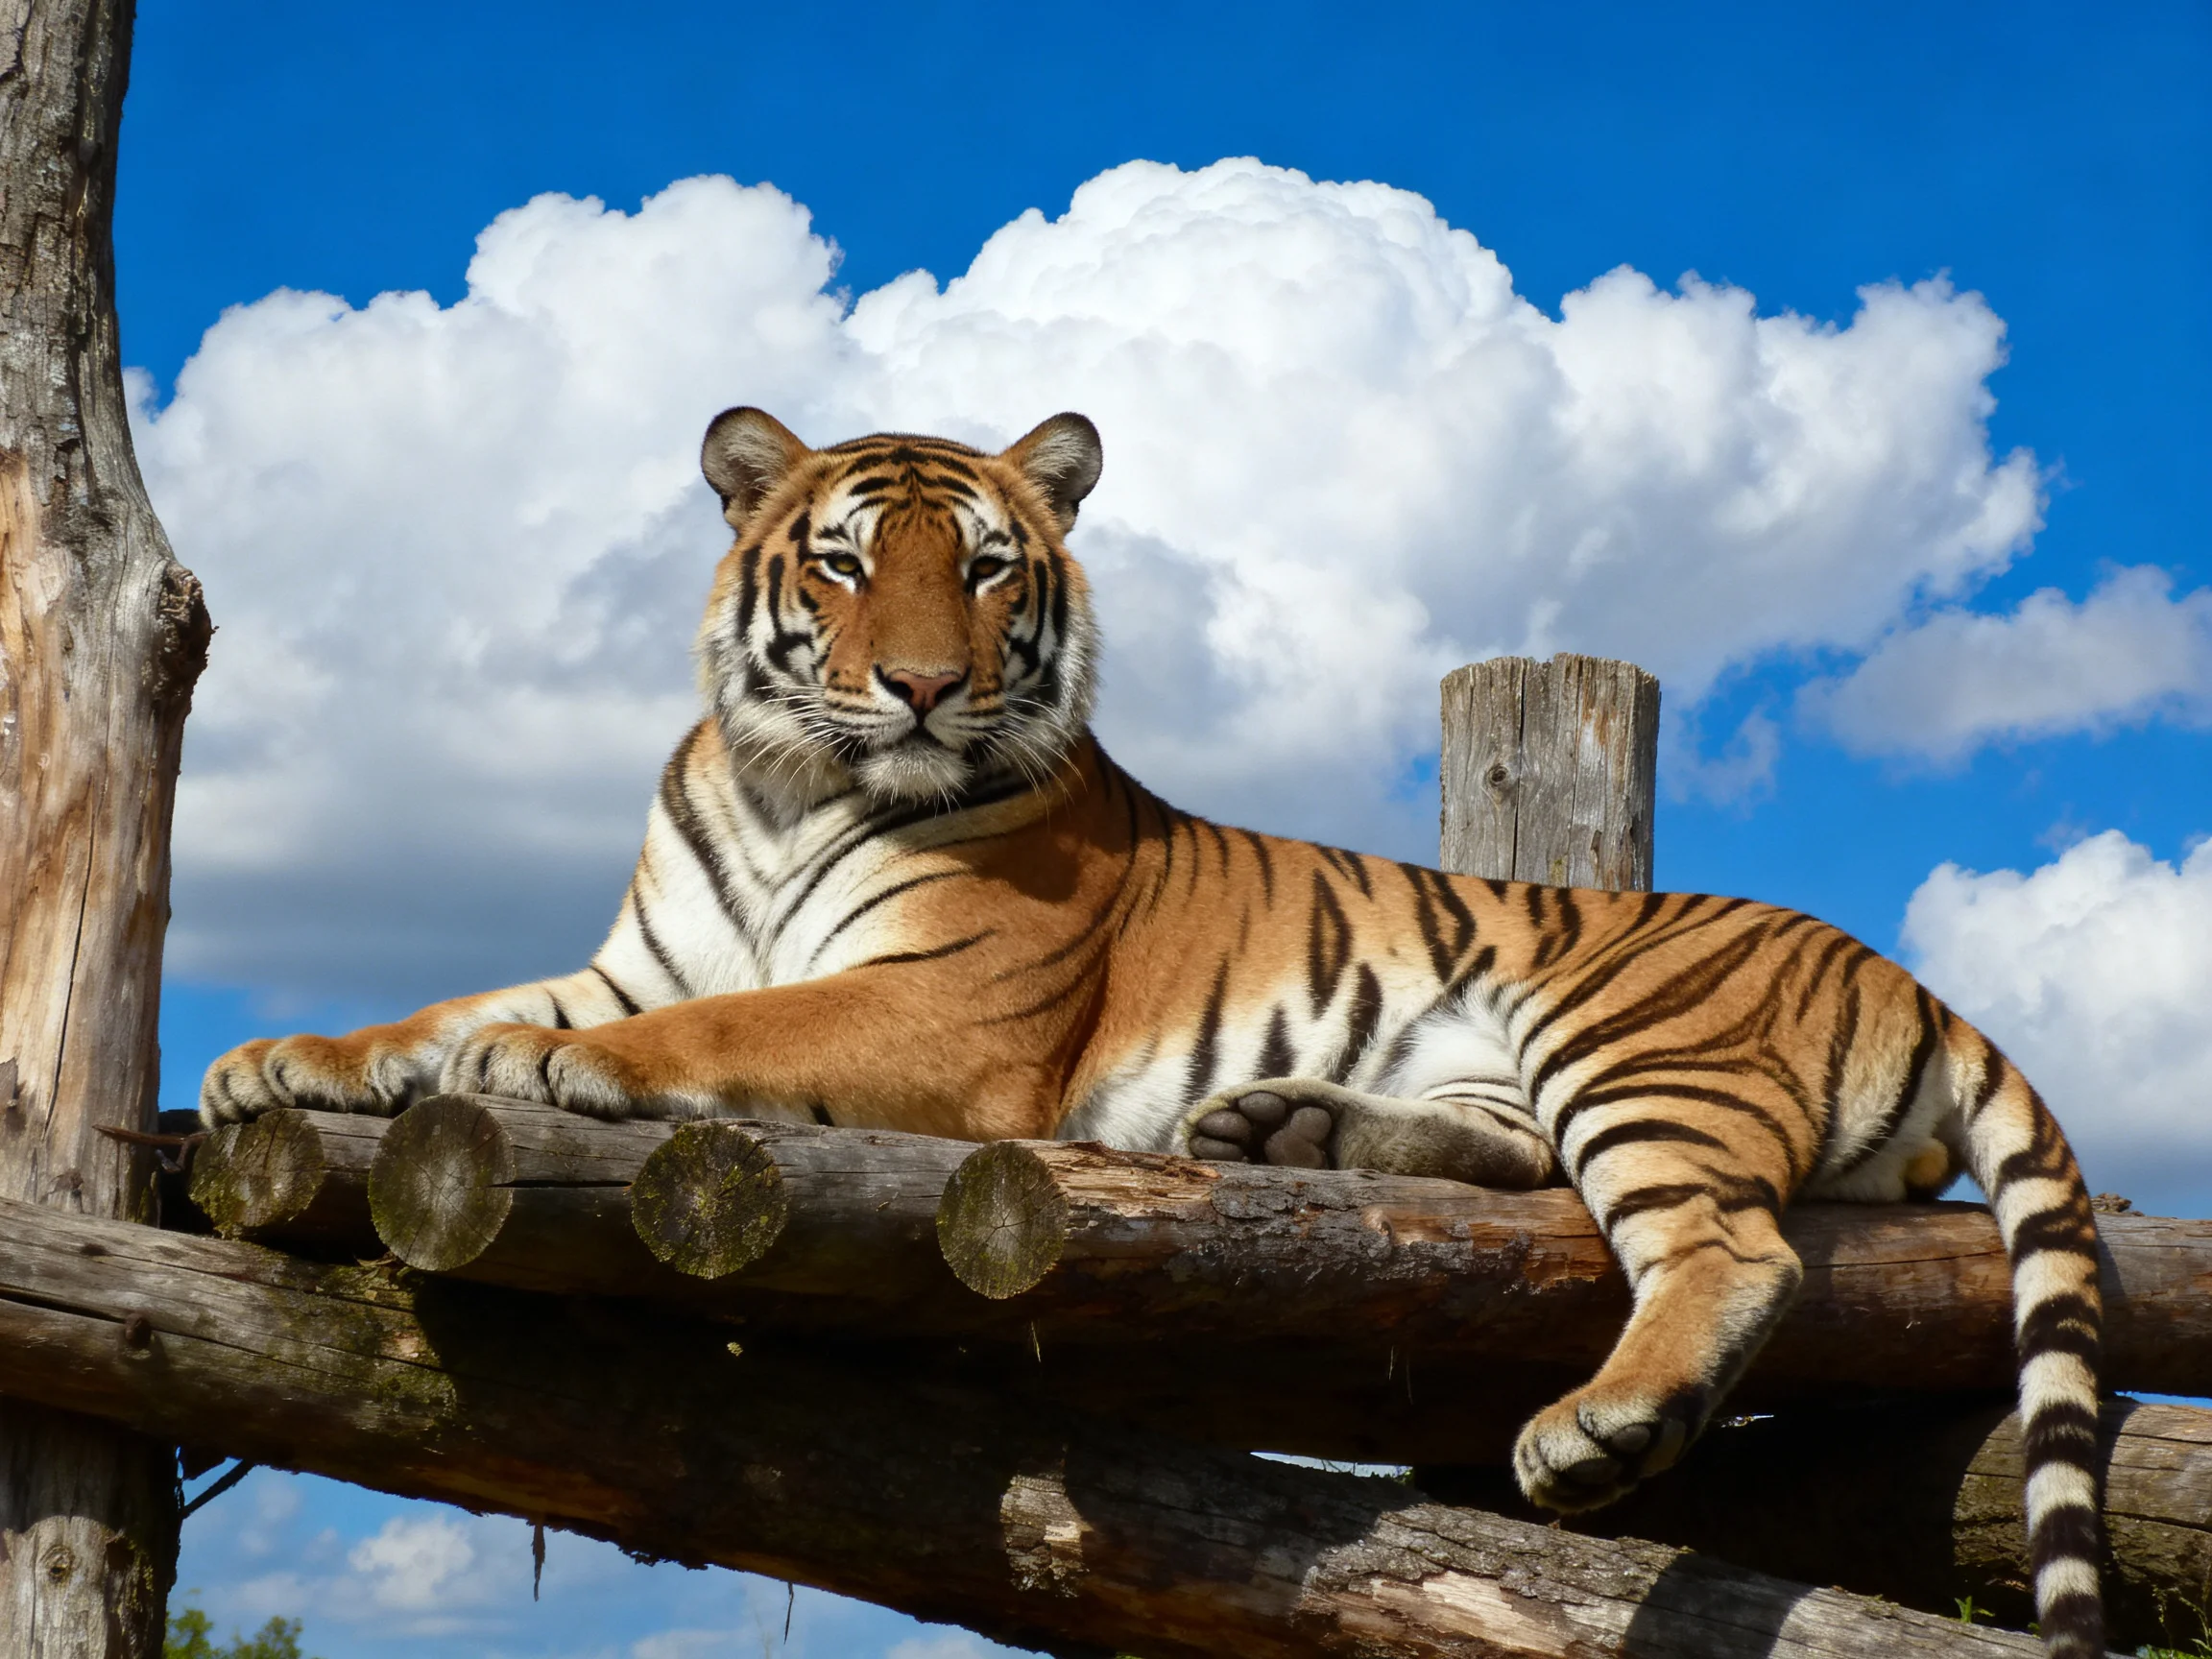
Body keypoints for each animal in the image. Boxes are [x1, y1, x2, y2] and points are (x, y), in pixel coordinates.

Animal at [201, 407, 2108, 1657]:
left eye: (985, 572)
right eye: (843, 564)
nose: (918, 687)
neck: (785, 778)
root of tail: (1912, 975)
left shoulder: (941, 1007)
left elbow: (739, 1014)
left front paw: (545, 1073)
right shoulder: (635, 952)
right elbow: (454, 1003)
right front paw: (279, 1062)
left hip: (1627, 1040)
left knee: (1729, 1251)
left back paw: (1594, 1425)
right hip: (1517, 1060)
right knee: (1509, 1166)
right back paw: (1278, 1130)